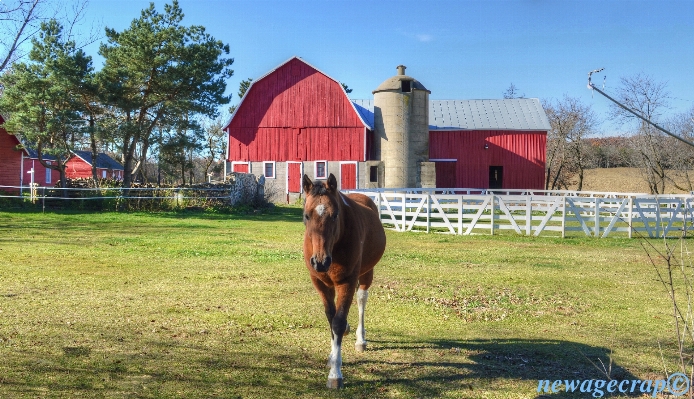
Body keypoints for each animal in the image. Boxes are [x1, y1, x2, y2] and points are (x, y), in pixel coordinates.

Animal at [304, 173, 388, 390]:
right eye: (306, 215)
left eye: (335, 215)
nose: (320, 261)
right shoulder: (320, 283)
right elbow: (330, 318)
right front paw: (332, 357)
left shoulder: (347, 282)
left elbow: (339, 322)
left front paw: (335, 374)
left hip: (366, 273)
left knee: (361, 300)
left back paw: (361, 340)